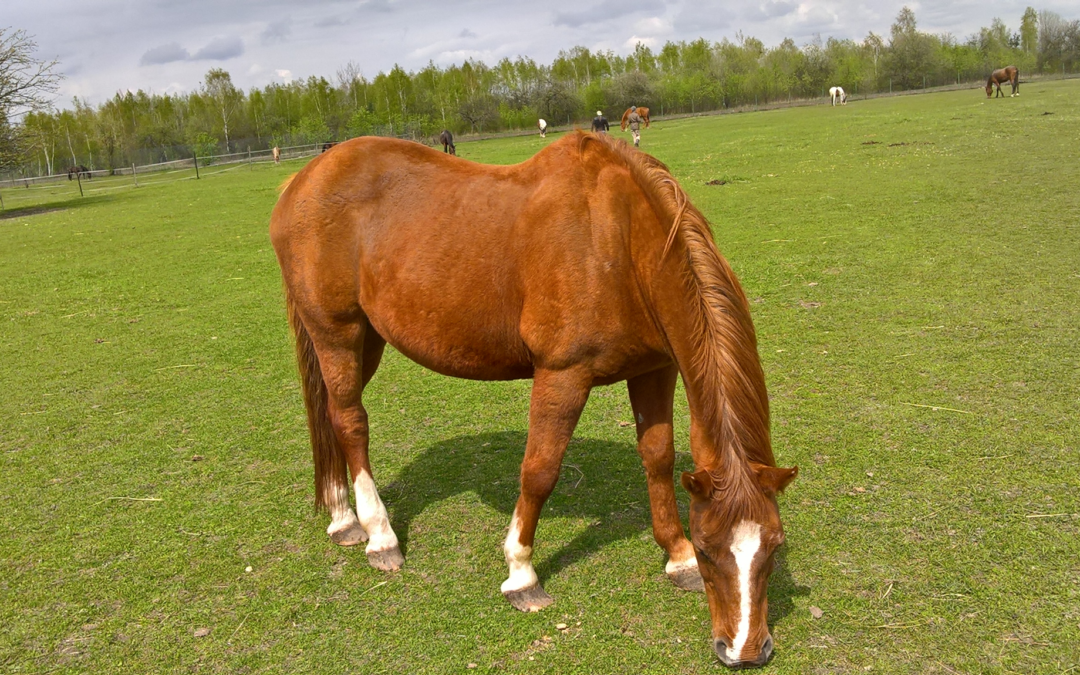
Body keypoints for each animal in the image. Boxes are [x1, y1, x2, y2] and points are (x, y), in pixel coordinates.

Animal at [267, 129, 794, 665]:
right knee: (351, 422)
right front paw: (521, 573)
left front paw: (676, 557)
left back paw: (342, 517)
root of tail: (305, 178)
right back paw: (379, 536)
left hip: (367, 340)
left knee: (331, 415)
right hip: (337, 333)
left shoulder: (655, 369)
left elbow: (658, 457)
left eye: (774, 546)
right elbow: (540, 471)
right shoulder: (562, 375)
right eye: (710, 548)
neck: (618, 239)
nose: (745, 650)